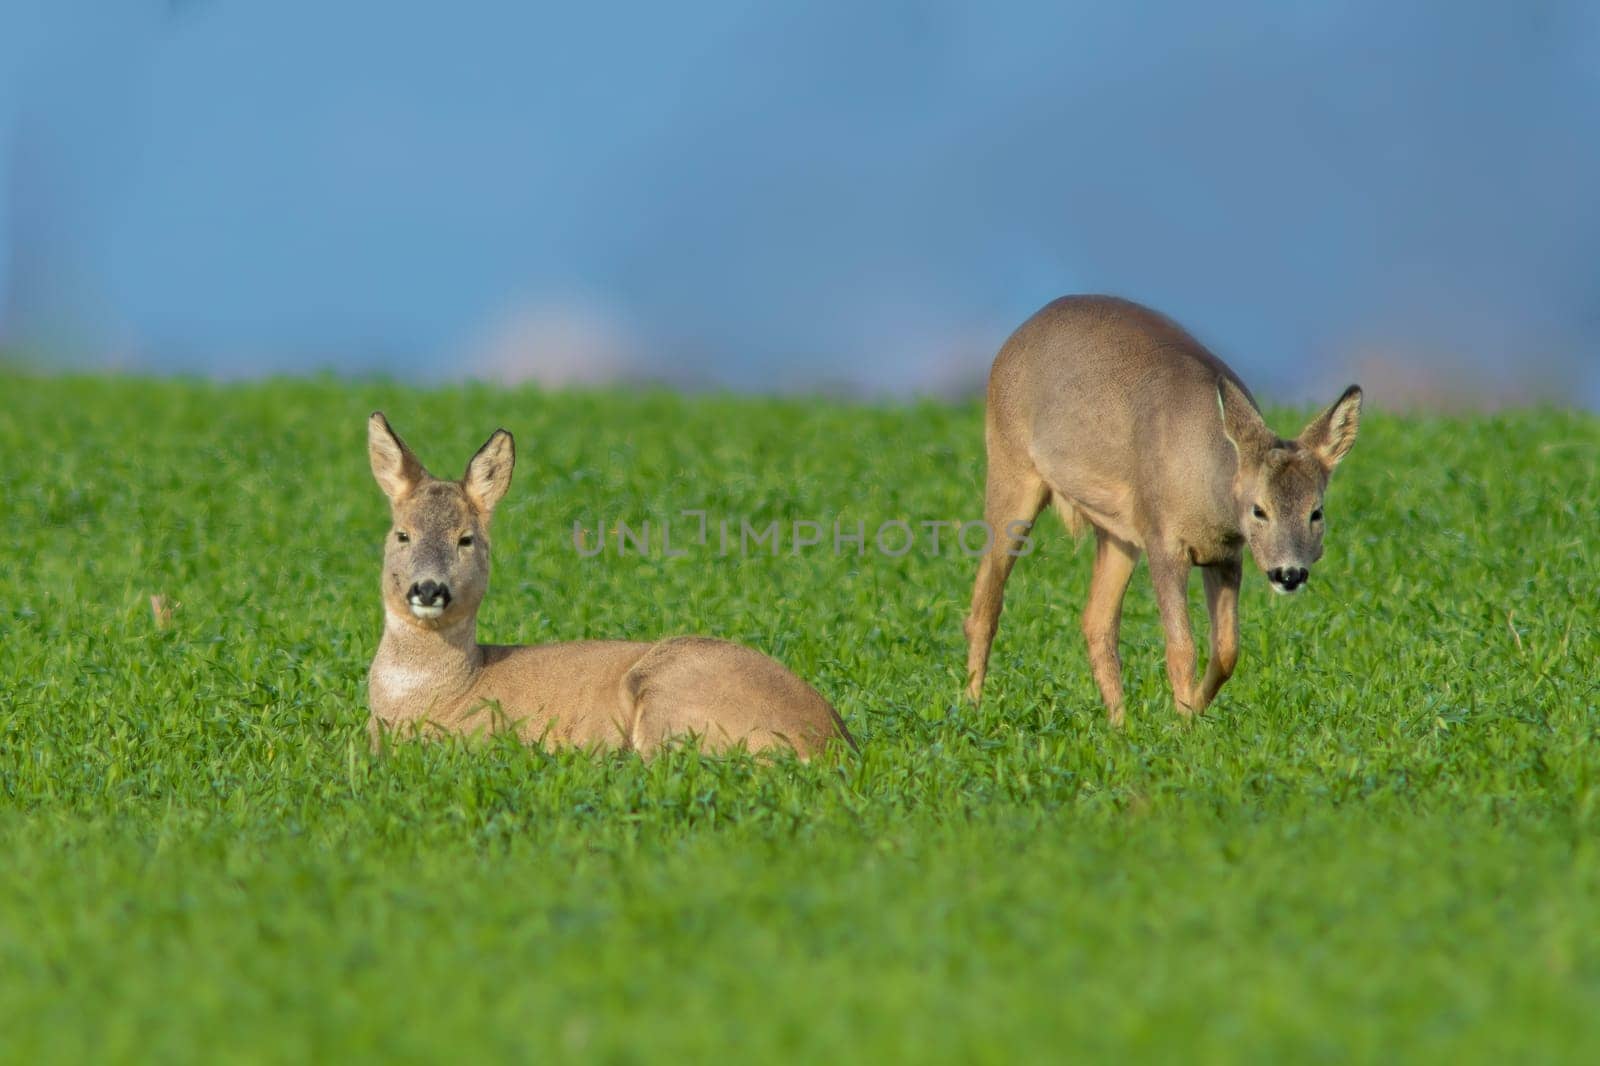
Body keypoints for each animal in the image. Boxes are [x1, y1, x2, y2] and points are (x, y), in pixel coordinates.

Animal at [960, 292, 1363, 723]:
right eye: (1259, 510)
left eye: (1316, 512)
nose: (1289, 574)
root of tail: (1020, 332)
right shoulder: (1163, 540)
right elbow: (1181, 647)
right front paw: (1184, 723)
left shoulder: (1226, 554)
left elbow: (1227, 649)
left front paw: (1193, 710)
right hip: (1011, 466)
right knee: (985, 603)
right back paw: (970, 706)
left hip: (1117, 532)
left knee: (1096, 620)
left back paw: (1119, 724)